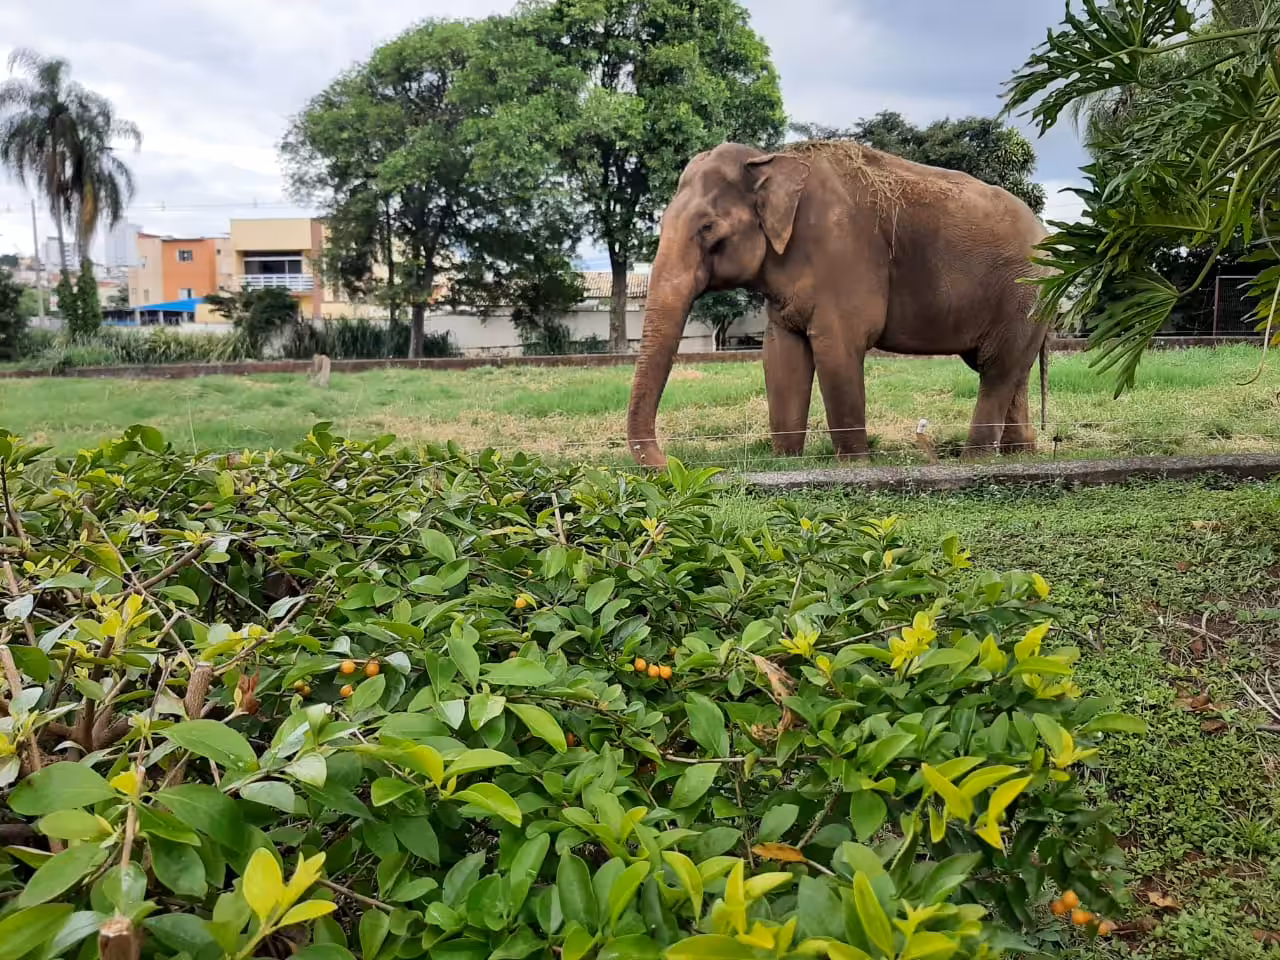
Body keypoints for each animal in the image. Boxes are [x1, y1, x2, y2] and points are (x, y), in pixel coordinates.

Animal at [625, 139, 1053, 469]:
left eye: (708, 227)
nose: (670, 464)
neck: (772, 159)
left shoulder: (842, 255)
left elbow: (837, 350)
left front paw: (855, 464)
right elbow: (780, 356)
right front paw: (785, 462)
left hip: (1023, 293)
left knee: (996, 370)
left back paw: (975, 459)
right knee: (1009, 370)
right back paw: (1019, 454)